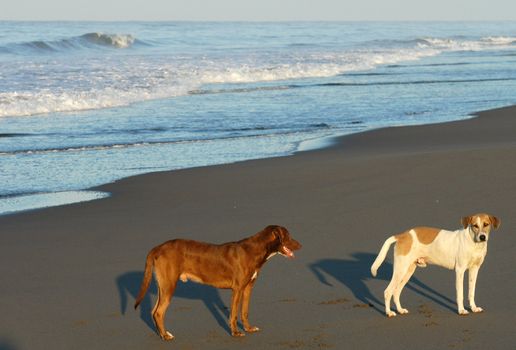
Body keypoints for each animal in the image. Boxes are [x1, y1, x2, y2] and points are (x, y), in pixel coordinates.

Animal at [134, 226, 302, 340]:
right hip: (169, 286)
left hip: (163, 286)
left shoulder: (248, 287)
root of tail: (157, 248)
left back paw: (161, 333)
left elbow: (244, 311)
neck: (256, 250)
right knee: (159, 312)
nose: (301, 245)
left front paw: (248, 328)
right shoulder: (237, 289)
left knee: (153, 311)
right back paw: (165, 336)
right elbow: (233, 314)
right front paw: (235, 332)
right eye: (288, 236)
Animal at [370, 213, 500, 318]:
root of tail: (402, 235)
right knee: (388, 292)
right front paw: (461, 310)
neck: (474, 243)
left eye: (486, 224)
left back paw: (400, 310)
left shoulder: (474, 270)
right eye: (475, 225)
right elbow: (460, 293)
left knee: (396, 292)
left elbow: (471, 292)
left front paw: (473, 308)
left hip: (408, 271)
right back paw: (388, 312)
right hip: (400, 270)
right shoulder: (460, 271)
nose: (482, 237)